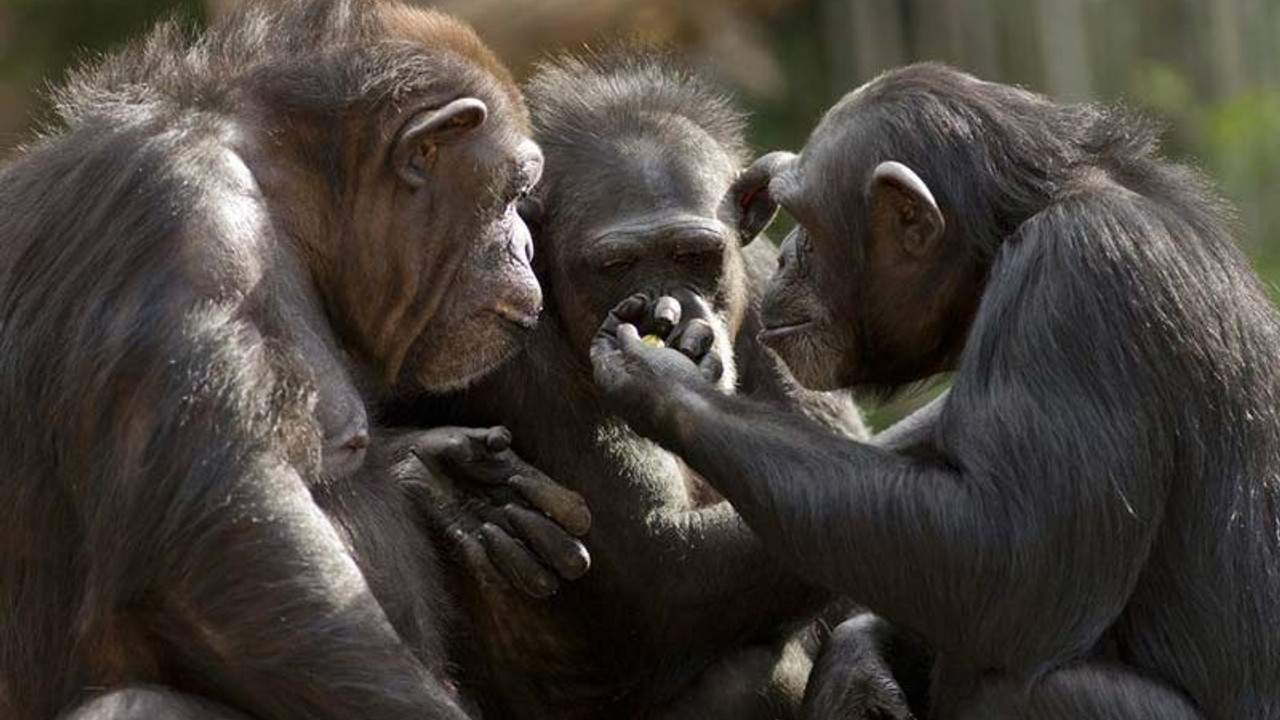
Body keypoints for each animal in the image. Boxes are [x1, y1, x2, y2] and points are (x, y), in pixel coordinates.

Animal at [0, 1, 588, 717]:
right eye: (513, 194)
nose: (526, 244)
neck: (282, 195)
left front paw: (446, 481)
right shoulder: (181, 224)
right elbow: (236, 554)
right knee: (141, 699)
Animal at [399, 51, 870, 717]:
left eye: (694, 254)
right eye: (617, 265)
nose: (665, 310)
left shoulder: (773, 288)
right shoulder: (507, 352)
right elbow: (661, 561)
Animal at [588, 61, 1280, 717]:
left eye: (806, 221)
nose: (782, 257)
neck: (1007, 236)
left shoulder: (1079, 279)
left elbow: (1012, 558)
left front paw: (665, 382)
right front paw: (858, 665)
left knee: (1016, 684)